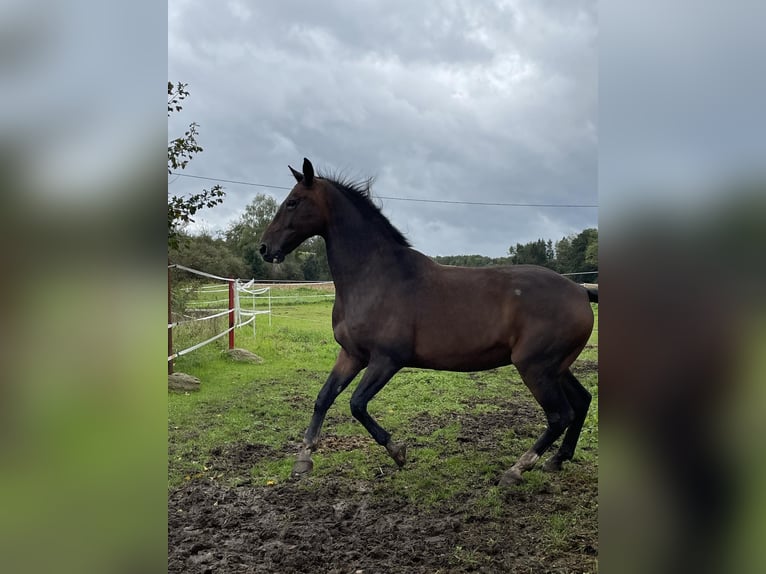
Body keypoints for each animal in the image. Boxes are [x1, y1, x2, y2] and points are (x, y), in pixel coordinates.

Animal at [260, 158, 596, 486]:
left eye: (293, 202)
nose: (264, 248)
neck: (374, 278)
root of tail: (580, 290)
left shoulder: (387, 360)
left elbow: (356, 404)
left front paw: (397, 451)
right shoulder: (352, 355)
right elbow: (324, 398)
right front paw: (304, 458)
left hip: (535, 367)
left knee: (560, 415)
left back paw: (517, 469)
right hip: (555, 368)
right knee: (582, 401)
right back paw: (557, 460)